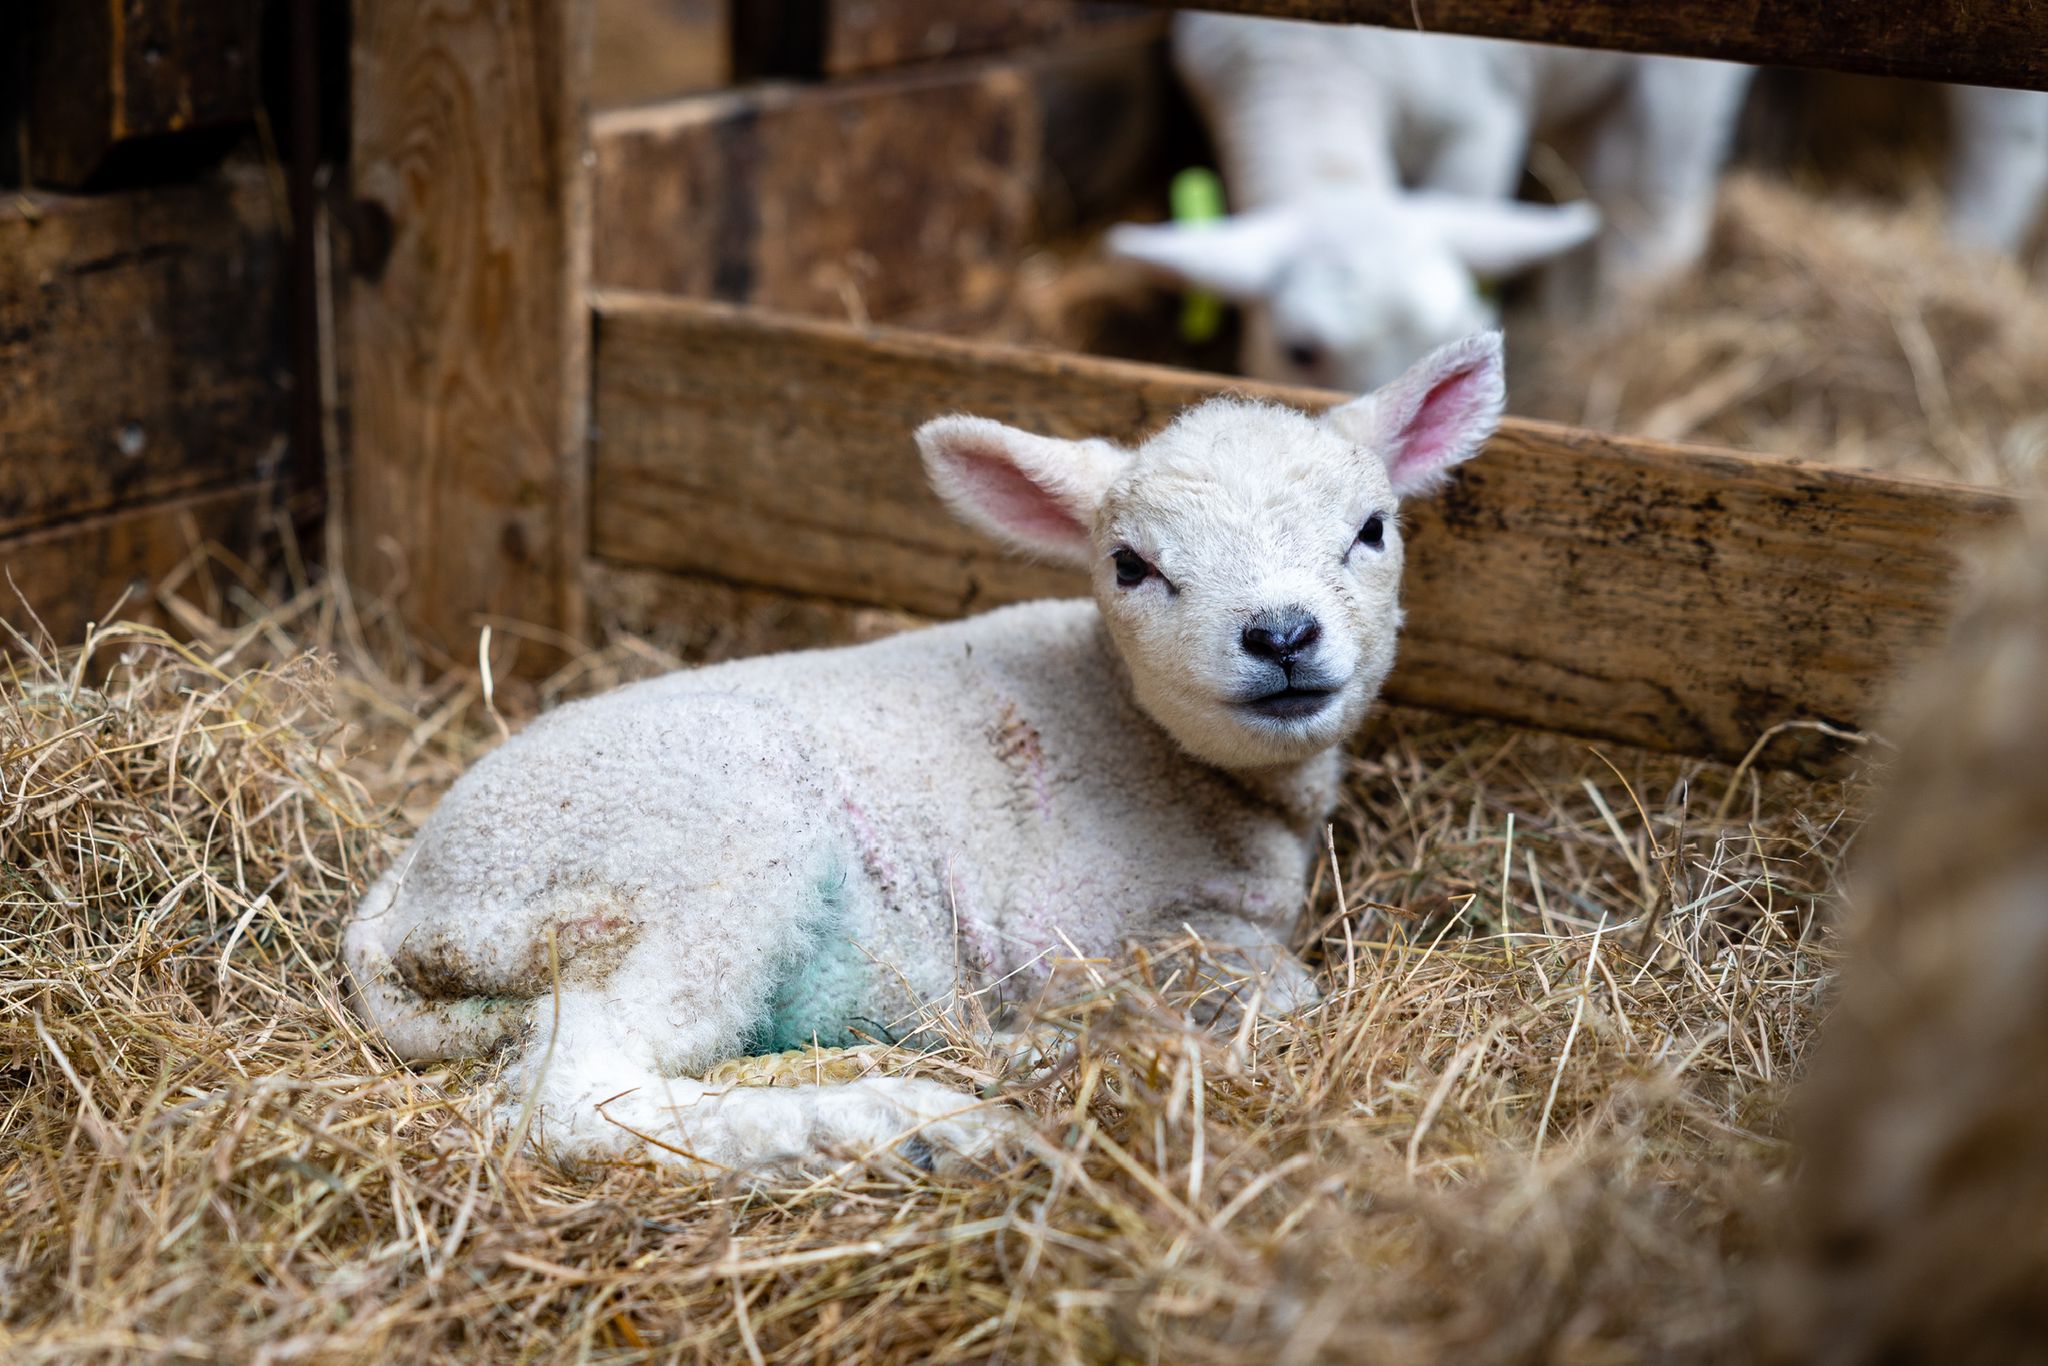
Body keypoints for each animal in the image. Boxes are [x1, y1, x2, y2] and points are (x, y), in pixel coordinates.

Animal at [348, 333, 1507, 1179]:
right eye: (1130, 566)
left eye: (1371, 529)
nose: (1280, 634)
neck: (1155, 745)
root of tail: (407, 899)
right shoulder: (1067, 927)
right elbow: (1275, 987)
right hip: (694, 852)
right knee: (574, 1092)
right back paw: (910, 1125)